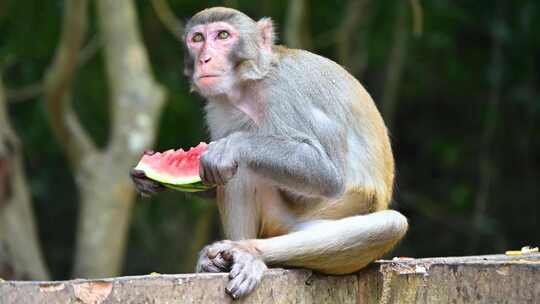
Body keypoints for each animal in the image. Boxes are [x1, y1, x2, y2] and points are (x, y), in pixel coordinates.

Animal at [133, 6, 408, 300]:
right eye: (197, 38)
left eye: (222, 35)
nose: (205, 58)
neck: (249, 86)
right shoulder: (217, 109)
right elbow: (211, 177)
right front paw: (148, 181)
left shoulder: (285, 92)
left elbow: (328, 174)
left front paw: (230, 147)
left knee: (390, 224)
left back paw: (249, 252)